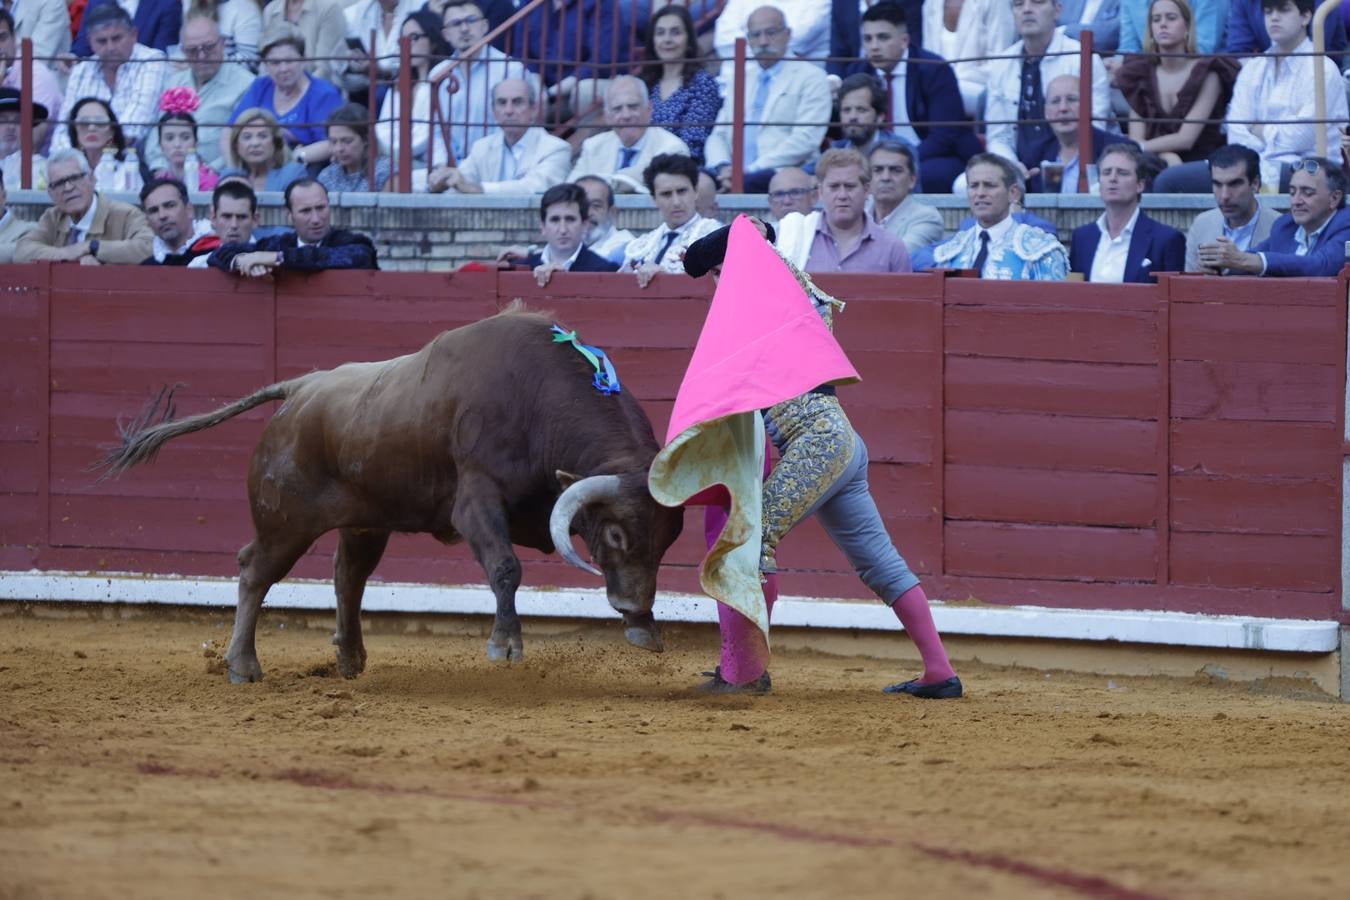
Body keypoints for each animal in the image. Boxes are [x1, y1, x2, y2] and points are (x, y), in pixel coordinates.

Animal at [99, 306, 685, 680]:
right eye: (615, 532)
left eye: (668, 540)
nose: (635, 605)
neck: (537, 401)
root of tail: (299, 388)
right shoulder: (476, 504)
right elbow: (505, 568)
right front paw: (505, 646)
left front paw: (645, 630)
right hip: (285, 520)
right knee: (255, 570)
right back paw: (243, 667)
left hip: (365, 521)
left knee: (347, 578)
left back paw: (350, 659)